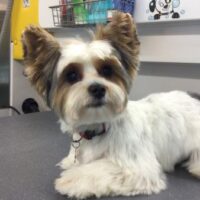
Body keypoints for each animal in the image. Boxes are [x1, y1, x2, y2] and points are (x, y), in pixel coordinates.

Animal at [21, 12, 200, 198]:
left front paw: (70, 179)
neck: (98, 129)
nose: (98, 88)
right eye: (72, 75)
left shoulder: (138, 168)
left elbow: (97, 169)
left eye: (107, 70)